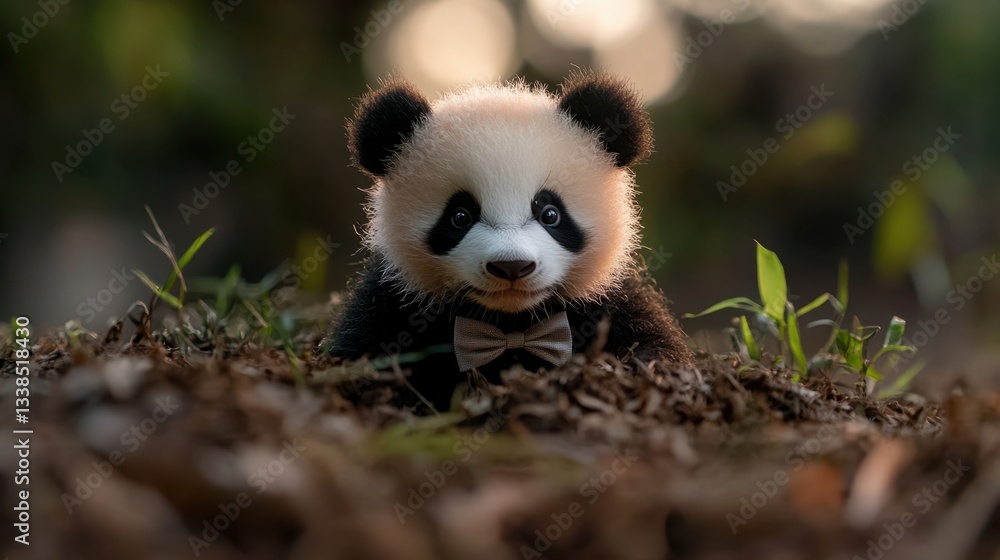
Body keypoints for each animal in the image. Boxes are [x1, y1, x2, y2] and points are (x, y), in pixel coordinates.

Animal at [330, 71, 693, 408]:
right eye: (459, 217)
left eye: (550, 213)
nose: (512, 267)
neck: (511, 323)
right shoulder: (395, 302)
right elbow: (364, 351)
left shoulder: (607, 301)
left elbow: (651, 343)